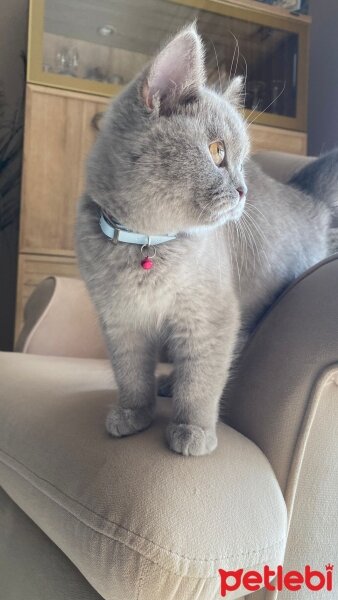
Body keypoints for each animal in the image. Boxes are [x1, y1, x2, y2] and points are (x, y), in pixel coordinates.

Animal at [76, 23, 338, 454]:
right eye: (217, 152)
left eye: (242, 161)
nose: (244, 190)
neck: (148, 241)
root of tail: (311, 202)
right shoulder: (119, 318)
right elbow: (130, 372)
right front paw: (134, 413)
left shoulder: (212, 315)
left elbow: (202, 379)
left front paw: (192, 429)